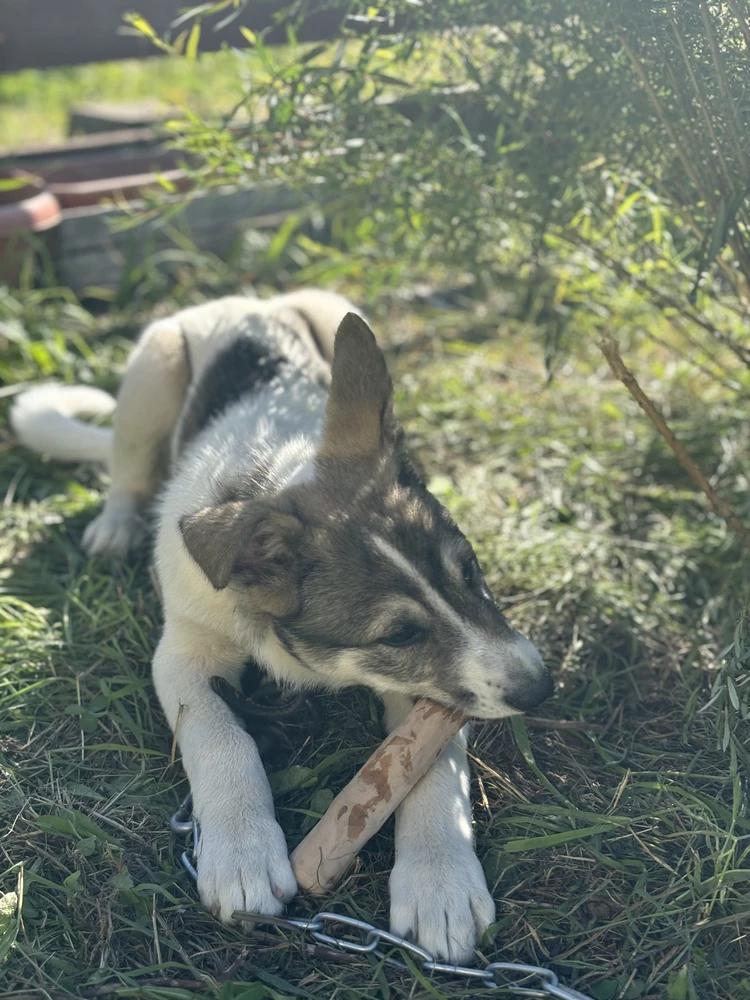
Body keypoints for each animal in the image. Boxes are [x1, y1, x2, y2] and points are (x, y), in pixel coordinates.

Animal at [10, 290, 552, 960]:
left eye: (470, 569)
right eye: (398, 634)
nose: (541, 687)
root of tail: (245, 299)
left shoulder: (433, 694)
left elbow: (430, 766)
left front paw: (439, 884)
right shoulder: (185, 653)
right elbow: (221, 738)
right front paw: (241, 854)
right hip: (152, 375)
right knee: (127, 469)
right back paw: (116, 526)